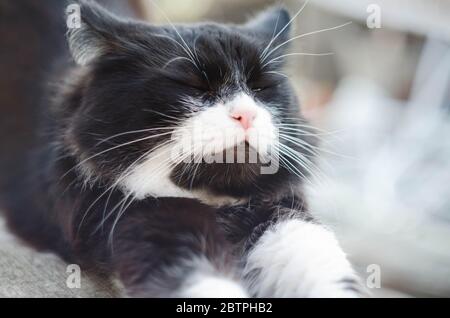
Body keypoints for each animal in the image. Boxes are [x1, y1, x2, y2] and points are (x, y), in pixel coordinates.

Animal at [0, 0, 360, 298]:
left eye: (262, 88)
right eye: (193, 86)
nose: (246, 114)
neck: (216, 205)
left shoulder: (280, 213)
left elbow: (322, 266)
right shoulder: (152, 225)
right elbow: (204, 284)